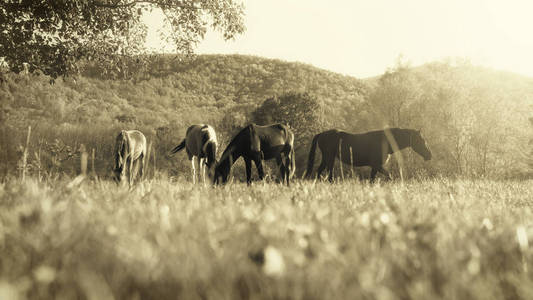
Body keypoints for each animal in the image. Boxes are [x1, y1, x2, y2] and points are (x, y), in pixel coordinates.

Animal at [304, 127, 432, 182]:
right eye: (421, 140)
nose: (429, 155)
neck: (385, 141)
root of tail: (321, 134)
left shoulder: (376, 167)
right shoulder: (376, 166)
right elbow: (387, 176)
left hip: (326, 158)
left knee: (320, 171)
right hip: (329, 158)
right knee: (328, 173)